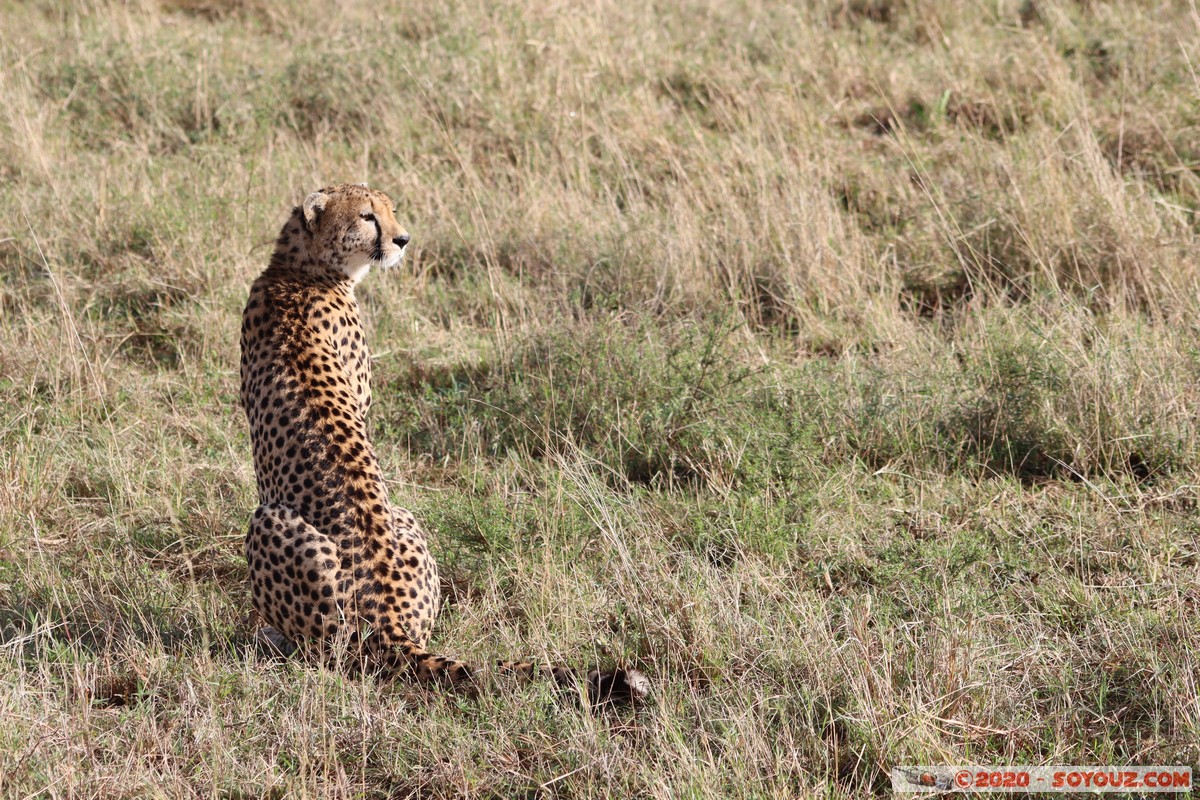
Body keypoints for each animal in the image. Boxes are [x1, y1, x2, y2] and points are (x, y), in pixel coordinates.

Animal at [236, 184, 648, 705]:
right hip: (387, 519)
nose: (403, 239)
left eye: (390, 210)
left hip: (280, 529)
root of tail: (390, 623)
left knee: (326, 656)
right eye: (367, 216)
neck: (300, 268)